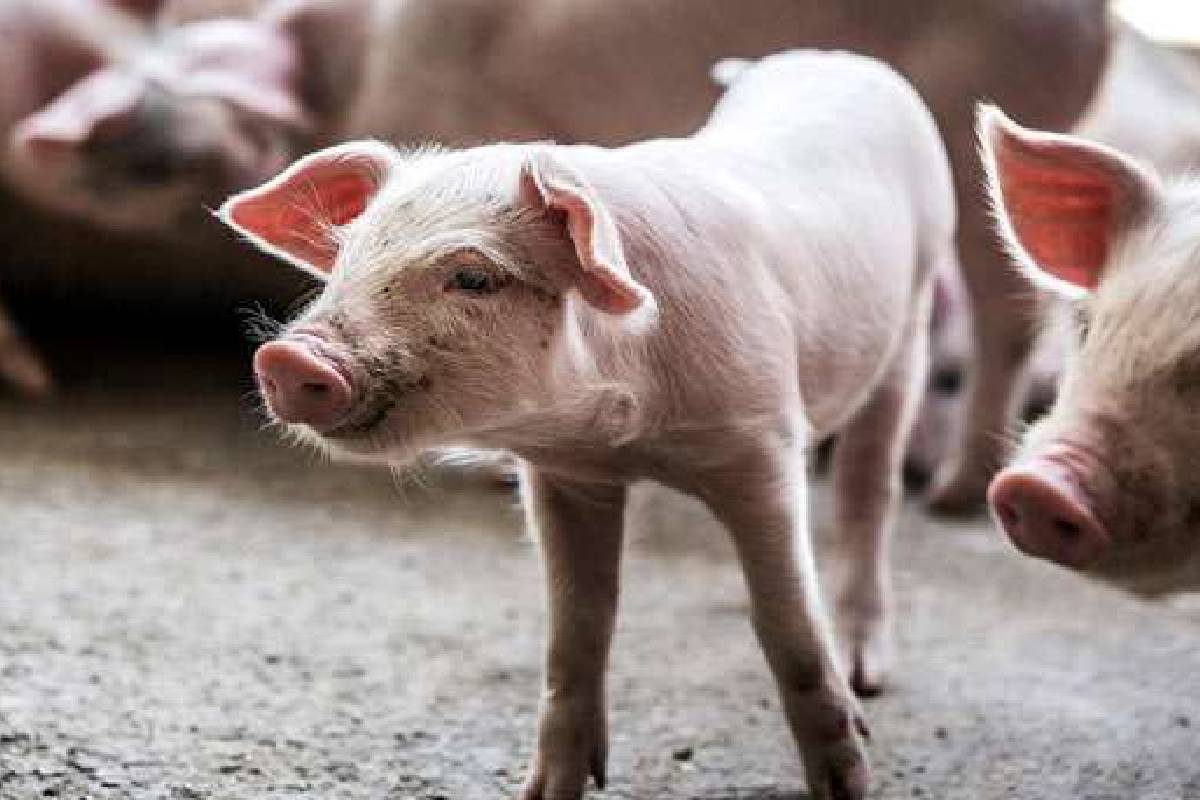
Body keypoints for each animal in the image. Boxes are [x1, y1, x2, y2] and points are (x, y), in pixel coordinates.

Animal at [218, 51, 957, 799]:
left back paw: (868, 672)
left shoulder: (759, 439)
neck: (632, 433)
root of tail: (834, 58)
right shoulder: (566, 475)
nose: (286, 357)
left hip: (911, 322)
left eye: (473, 277)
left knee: (869, 495)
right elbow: (577, 625)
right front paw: (544, 791)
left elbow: (788, 625)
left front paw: (848, 784)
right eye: (346, 259)